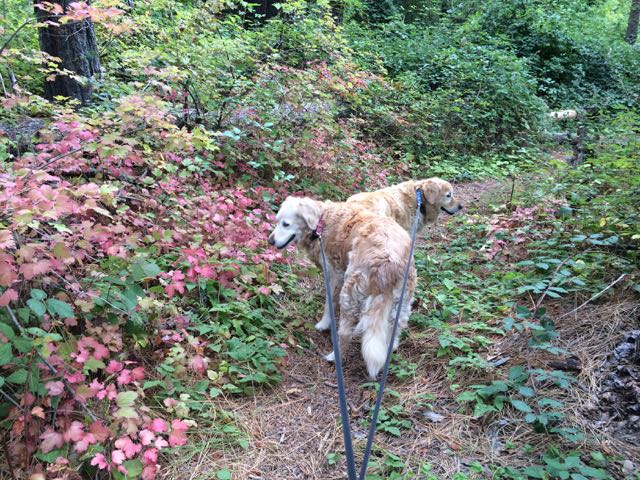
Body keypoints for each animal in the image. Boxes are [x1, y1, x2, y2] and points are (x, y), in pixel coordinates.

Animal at [268, 197, 416, 379]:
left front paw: (324, 324)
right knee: (396, 329)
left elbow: (328, 304)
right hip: (402, 301)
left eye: (286, 224)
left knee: (345, 333)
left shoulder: (334, 275)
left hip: (349, 294)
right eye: (277, 221)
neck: (321, 222)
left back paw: (334, 356)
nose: (270, 241)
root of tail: (388, 263)